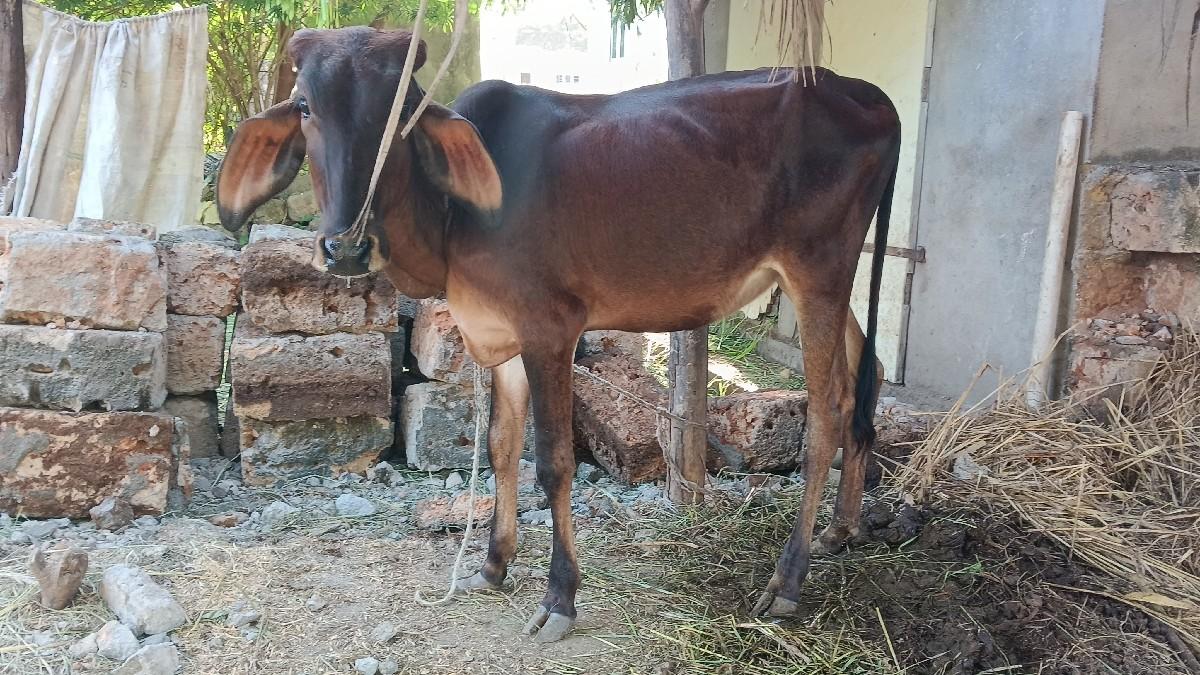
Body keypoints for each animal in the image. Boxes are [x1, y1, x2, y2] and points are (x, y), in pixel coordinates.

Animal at [217, 27, 900, 643]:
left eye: (404, 110)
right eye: (306, 107)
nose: (348, 247)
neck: (450, 223)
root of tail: (865, 94)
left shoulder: (549, 331)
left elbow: (552, 462)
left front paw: (559, 598)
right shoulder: (500, 335)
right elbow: (499, 446)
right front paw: (492, 564)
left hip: (818, 269)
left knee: (825, 415)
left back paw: (787, 580)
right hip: (825, 282)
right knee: (857, 388)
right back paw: (839, 530)